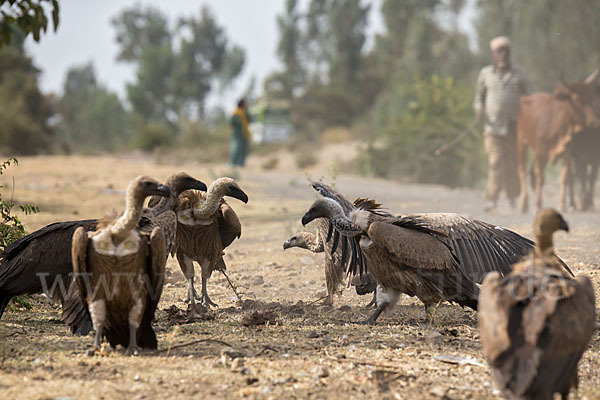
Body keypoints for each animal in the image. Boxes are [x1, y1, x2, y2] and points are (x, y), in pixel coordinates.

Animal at [516, 67, 600, 212]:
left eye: (590, 97)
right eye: (578, 99)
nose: (594, 121)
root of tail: (525, 98)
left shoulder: (567, 152)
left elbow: (565, 178)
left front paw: (562, 205)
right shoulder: (540, 153)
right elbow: (540, 179)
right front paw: (538, 205)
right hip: (521, 143)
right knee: (522, 171)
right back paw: (524, 204)